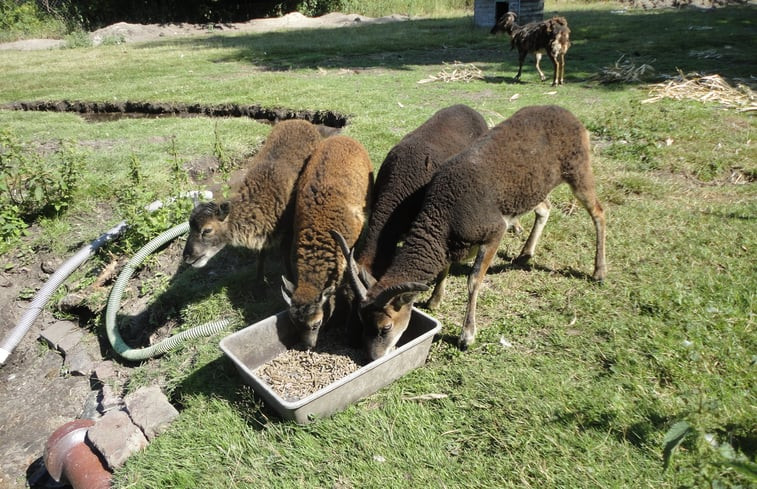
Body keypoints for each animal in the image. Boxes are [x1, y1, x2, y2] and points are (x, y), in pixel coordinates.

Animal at [187, 119, 324, 278]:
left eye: (207, 230)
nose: (186, 257)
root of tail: (298, 120)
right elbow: (262, 253)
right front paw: (259, 278)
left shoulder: (288, 229)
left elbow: (285, 254)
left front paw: (290, 277)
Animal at [336, 106, 604, 358]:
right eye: (360, 317)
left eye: (385, 327)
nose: (371, 356)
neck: (443, 213)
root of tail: (568, 114)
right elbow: (445, 266)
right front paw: (434, 301)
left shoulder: (494, 231)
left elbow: (474, 280)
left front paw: (467, 337)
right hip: (535, 187)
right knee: (545, 207)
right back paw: (525, 254)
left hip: (578, 168)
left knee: (598, 212)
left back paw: (599, 273)